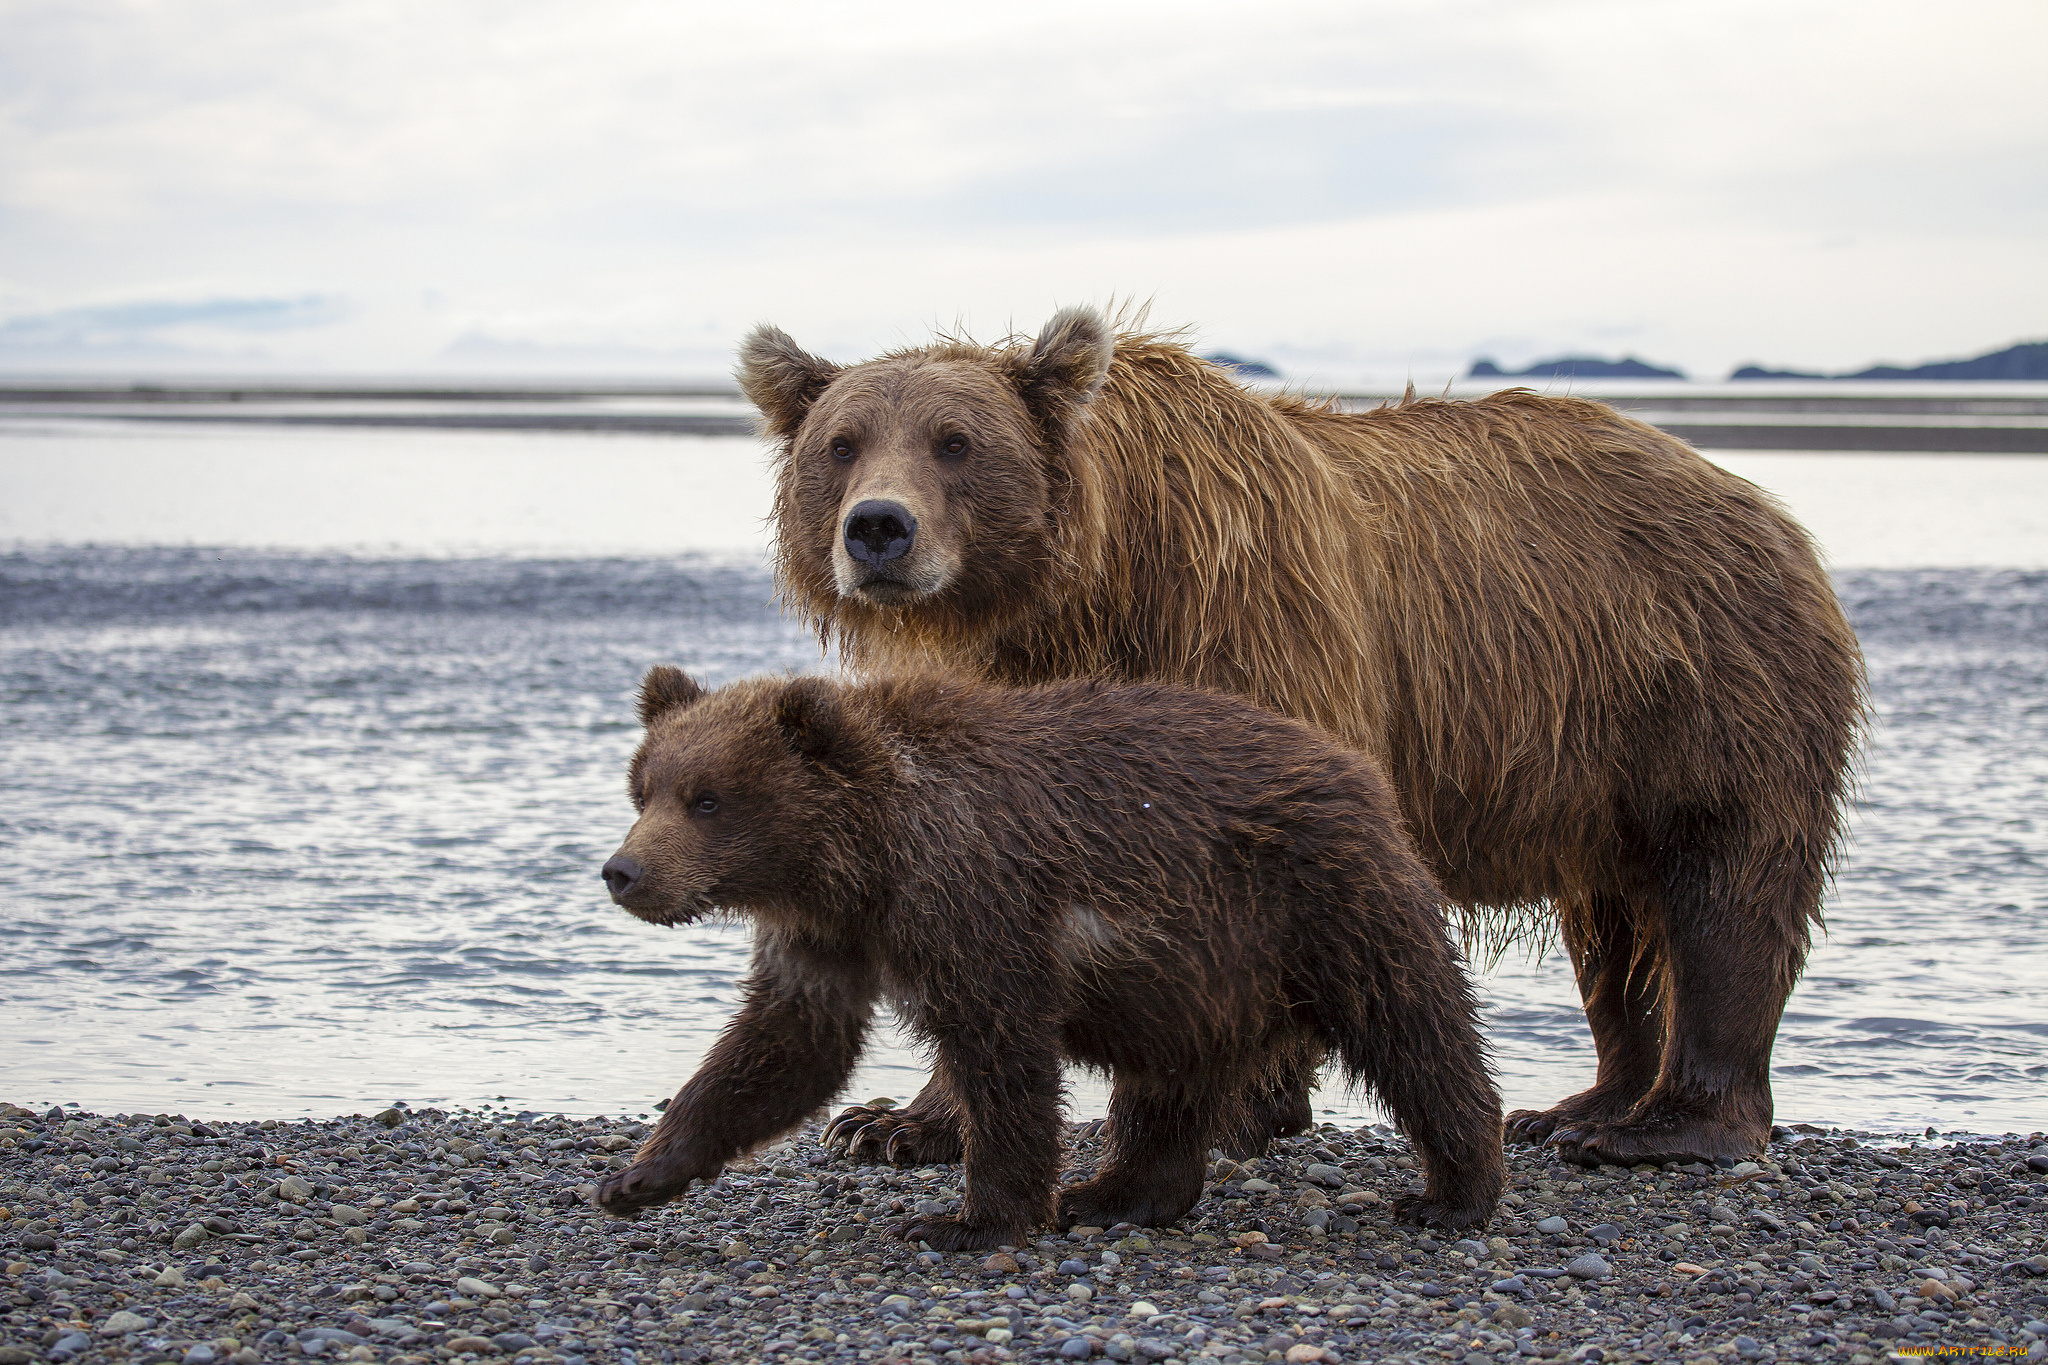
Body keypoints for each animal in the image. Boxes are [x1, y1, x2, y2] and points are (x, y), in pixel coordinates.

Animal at [591, 665, 1505, 1249]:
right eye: (644, 786)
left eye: (709, 798)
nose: (623, 871)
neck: (866, 862)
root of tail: (1357, 765)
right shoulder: (825, 938)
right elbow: (782, 1047)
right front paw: (640, 1176)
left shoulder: (975, 900)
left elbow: (1000, 1056)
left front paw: (964, 1219)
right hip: (1196, 971)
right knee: (1170, 1084)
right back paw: (1117, 1195)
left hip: (1322, 902)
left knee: (1413, 1029)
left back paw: (1453, 1193)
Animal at [736, 307, 1866, 1171]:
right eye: (843, 442)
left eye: (955, 440)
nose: (879, 528)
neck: (1082, 593)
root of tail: (1761, 503)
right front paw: (891, 1122)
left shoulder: (1249, 641)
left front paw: (1240, 1103)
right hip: (1600, 761)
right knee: (1614, 926)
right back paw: (1576, 1106)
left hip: (1705, 684)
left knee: (1723, 889)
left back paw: (1666, 1125)